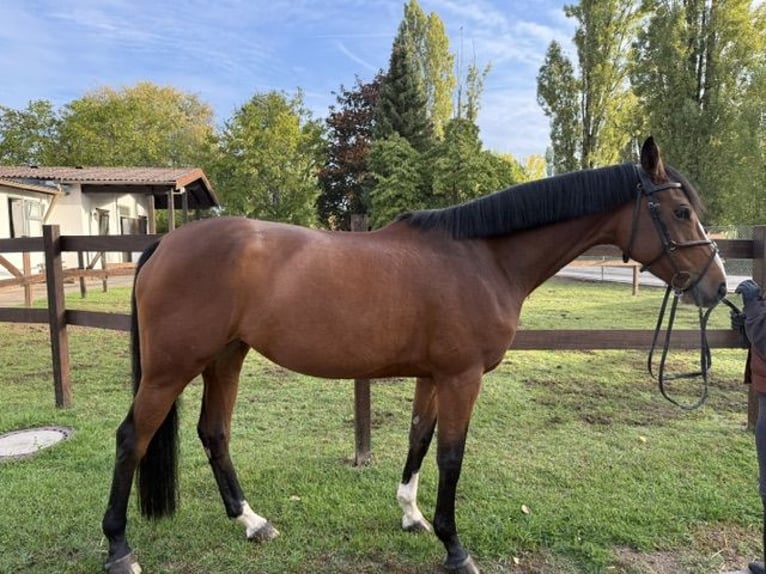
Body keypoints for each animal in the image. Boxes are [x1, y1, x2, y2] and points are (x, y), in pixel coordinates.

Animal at [101, 137, 727, 574]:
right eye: (679, 213)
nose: (717, 287)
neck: (482, 258)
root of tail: (165, 242)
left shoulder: (435, 376)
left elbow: (419, 441)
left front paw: (412, 515)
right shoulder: (462, 377)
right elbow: (452, 455)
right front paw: (456, 547)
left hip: (226, 356)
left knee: (214, 432)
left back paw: (252, 523)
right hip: (172, 368)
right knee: (133, 437)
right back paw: (119, 547)